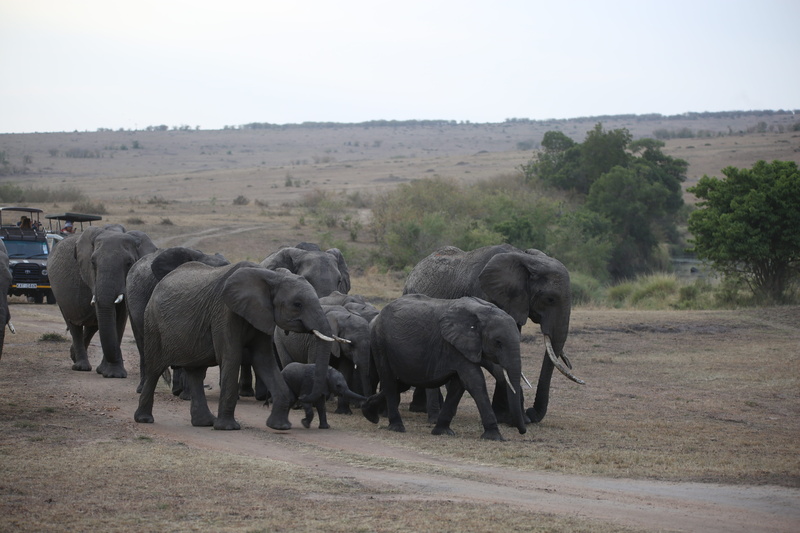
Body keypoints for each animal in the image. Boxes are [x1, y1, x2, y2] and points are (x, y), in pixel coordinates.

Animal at [48, 225, 157, 377]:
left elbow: (120, 318)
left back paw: (74, 356)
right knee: (73, 325)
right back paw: (81, 366)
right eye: (92, 263)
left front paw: (112, 373)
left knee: (93, 326)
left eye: (129, 263)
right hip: (58, 293)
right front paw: (112, 373)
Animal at [134, 261, 336, 431]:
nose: (302, 400)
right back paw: (144, 419)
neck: (270, 276)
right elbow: (231, 357)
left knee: (196, 373)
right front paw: (228, 428)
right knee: (155, 369)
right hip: (153, 324)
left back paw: (204, 423)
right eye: (297, 304)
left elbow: (263, 360)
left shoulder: (261, 315)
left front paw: (280, 426)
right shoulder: (225, 312)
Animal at [362, 294, 527, 441]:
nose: (522, 431)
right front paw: (494, 437)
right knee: (389, 381)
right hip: (380, 342)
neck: (483, 311)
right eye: (498, 342)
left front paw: (442, 432)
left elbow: (459, 385)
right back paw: (397, 427)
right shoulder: (453, 345)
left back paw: (369, 413)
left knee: (401, 383)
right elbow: (474, 381)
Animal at [402, 244, 584, 424]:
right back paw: (422, 409)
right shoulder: (485, 294)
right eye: (550, 299)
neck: (525, 258)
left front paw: (505, 417)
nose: (532, 413)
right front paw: (515, 418)